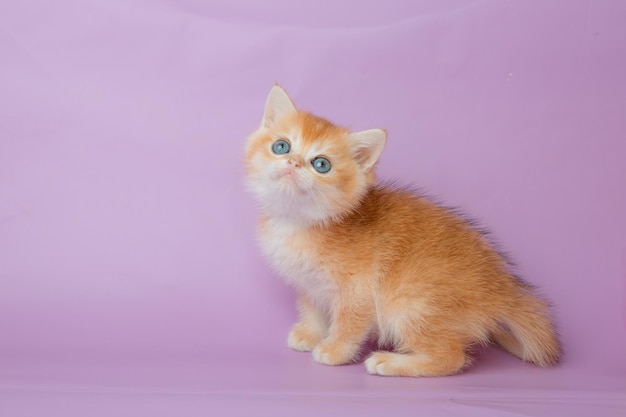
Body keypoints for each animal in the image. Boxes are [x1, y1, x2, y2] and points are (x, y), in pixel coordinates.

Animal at [244, 85, 560, 376]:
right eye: (282, 146)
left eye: (321, 164)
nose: (293, 162)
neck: (298, 221)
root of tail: (501, 291)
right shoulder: (309, 283)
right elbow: (312, 307)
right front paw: (311, 333)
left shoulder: (358, 289)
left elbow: (348, 322)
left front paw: (335, 350)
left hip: (410, 304)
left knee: (451, 357)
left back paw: (392, 362)